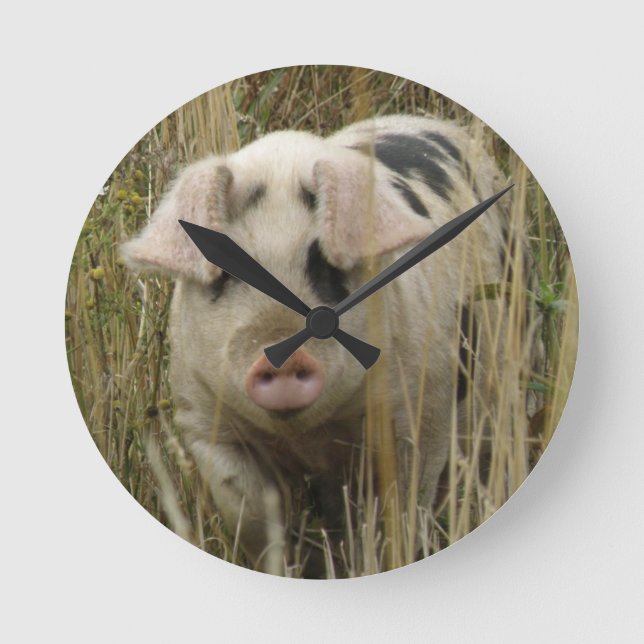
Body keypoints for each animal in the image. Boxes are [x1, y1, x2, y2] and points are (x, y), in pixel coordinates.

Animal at [121, 115, 513, 575]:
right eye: (223, 266)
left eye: (325, 263)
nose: (281, 357)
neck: (309, 438)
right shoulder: (204, 421)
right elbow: (250, 513)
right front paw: (295, 564)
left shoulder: (422, 413)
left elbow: (399, 512)